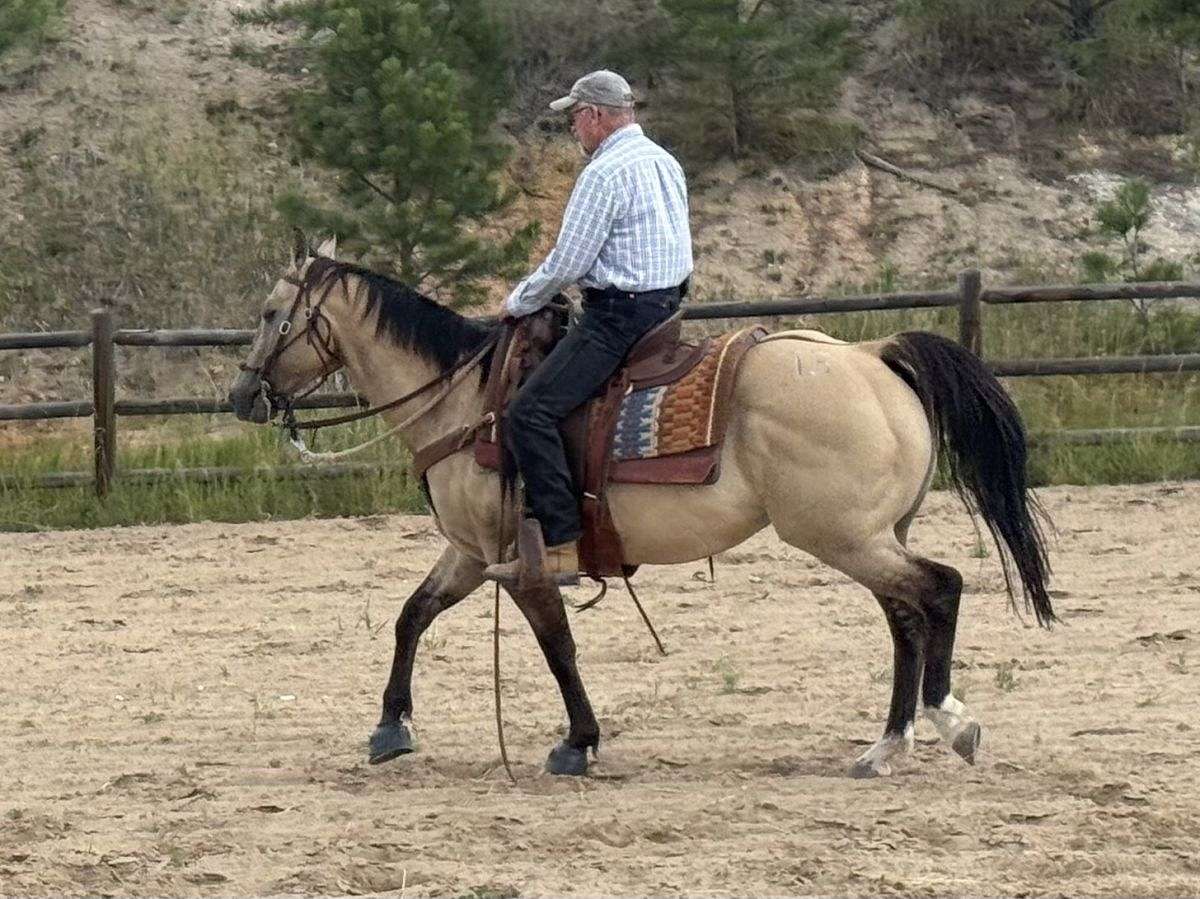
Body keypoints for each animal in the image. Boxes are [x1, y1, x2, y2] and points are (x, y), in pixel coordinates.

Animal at [228, 235, 1053, 779]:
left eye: (271, 312)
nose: (240, 395)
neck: (465, 399)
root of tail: (871, 353)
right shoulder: (470, 551)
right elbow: (412, 615)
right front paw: (390, 726)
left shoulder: (520, 560)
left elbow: (557, 646)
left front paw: (578, 741)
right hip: (871, 533)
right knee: (905, 615)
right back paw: (886, 743)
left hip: (843, 535)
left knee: (939, 588)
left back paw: (949, 720)